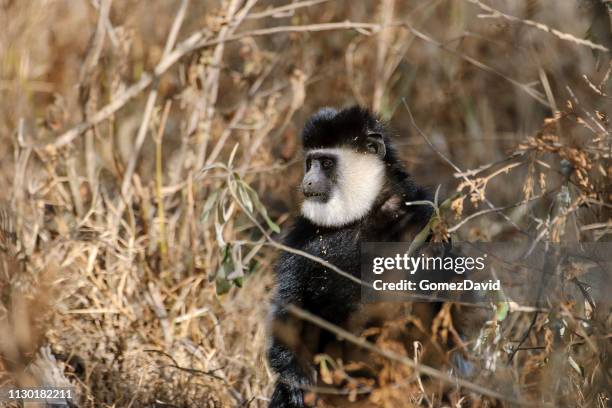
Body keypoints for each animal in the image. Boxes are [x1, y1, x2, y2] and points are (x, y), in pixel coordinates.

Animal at [266, 107, 436, 406]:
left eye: (326, 163)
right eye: (310, 163)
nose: (307, 181)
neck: (361, 216)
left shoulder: (420, 220)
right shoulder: (302, 234)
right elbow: (290, 304)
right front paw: (297, 380)